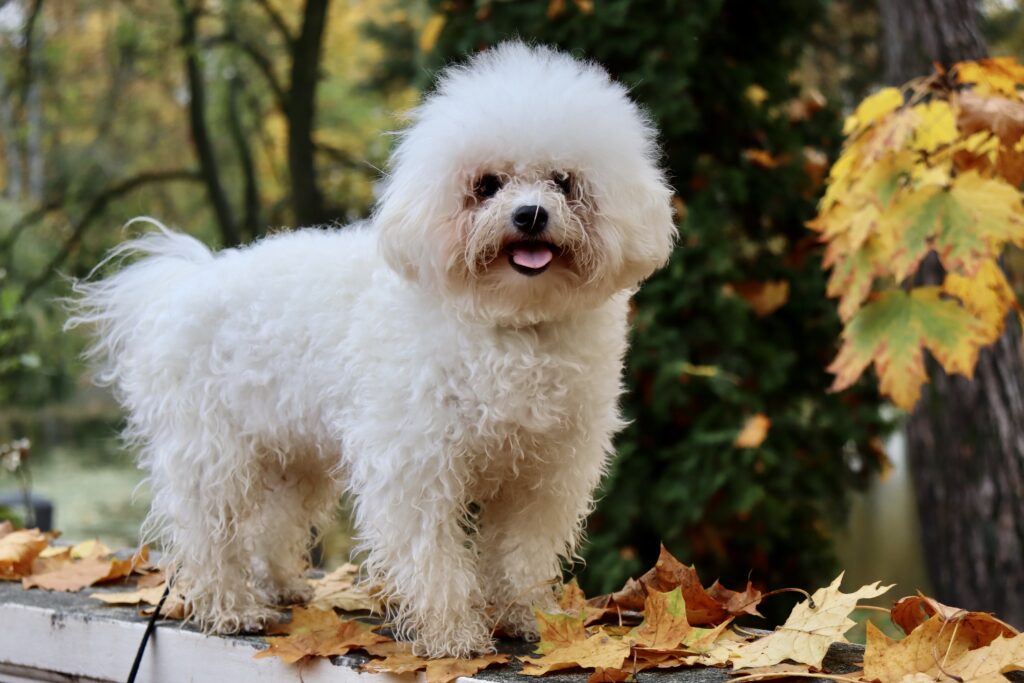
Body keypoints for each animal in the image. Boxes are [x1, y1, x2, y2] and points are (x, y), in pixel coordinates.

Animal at [68, 41, 675, 655]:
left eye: (564, 181)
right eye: (486, 184)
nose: (530, 215)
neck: (511, 325)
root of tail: (183, 285)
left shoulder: (544, 474)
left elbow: (521, 554)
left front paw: (522, 618)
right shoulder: (417, 463)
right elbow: (433, 557)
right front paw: (453, 636)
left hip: (293, 454)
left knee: (274, 523)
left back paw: (282, 584)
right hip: (214, 454)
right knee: (208, 534)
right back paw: (233, 608)